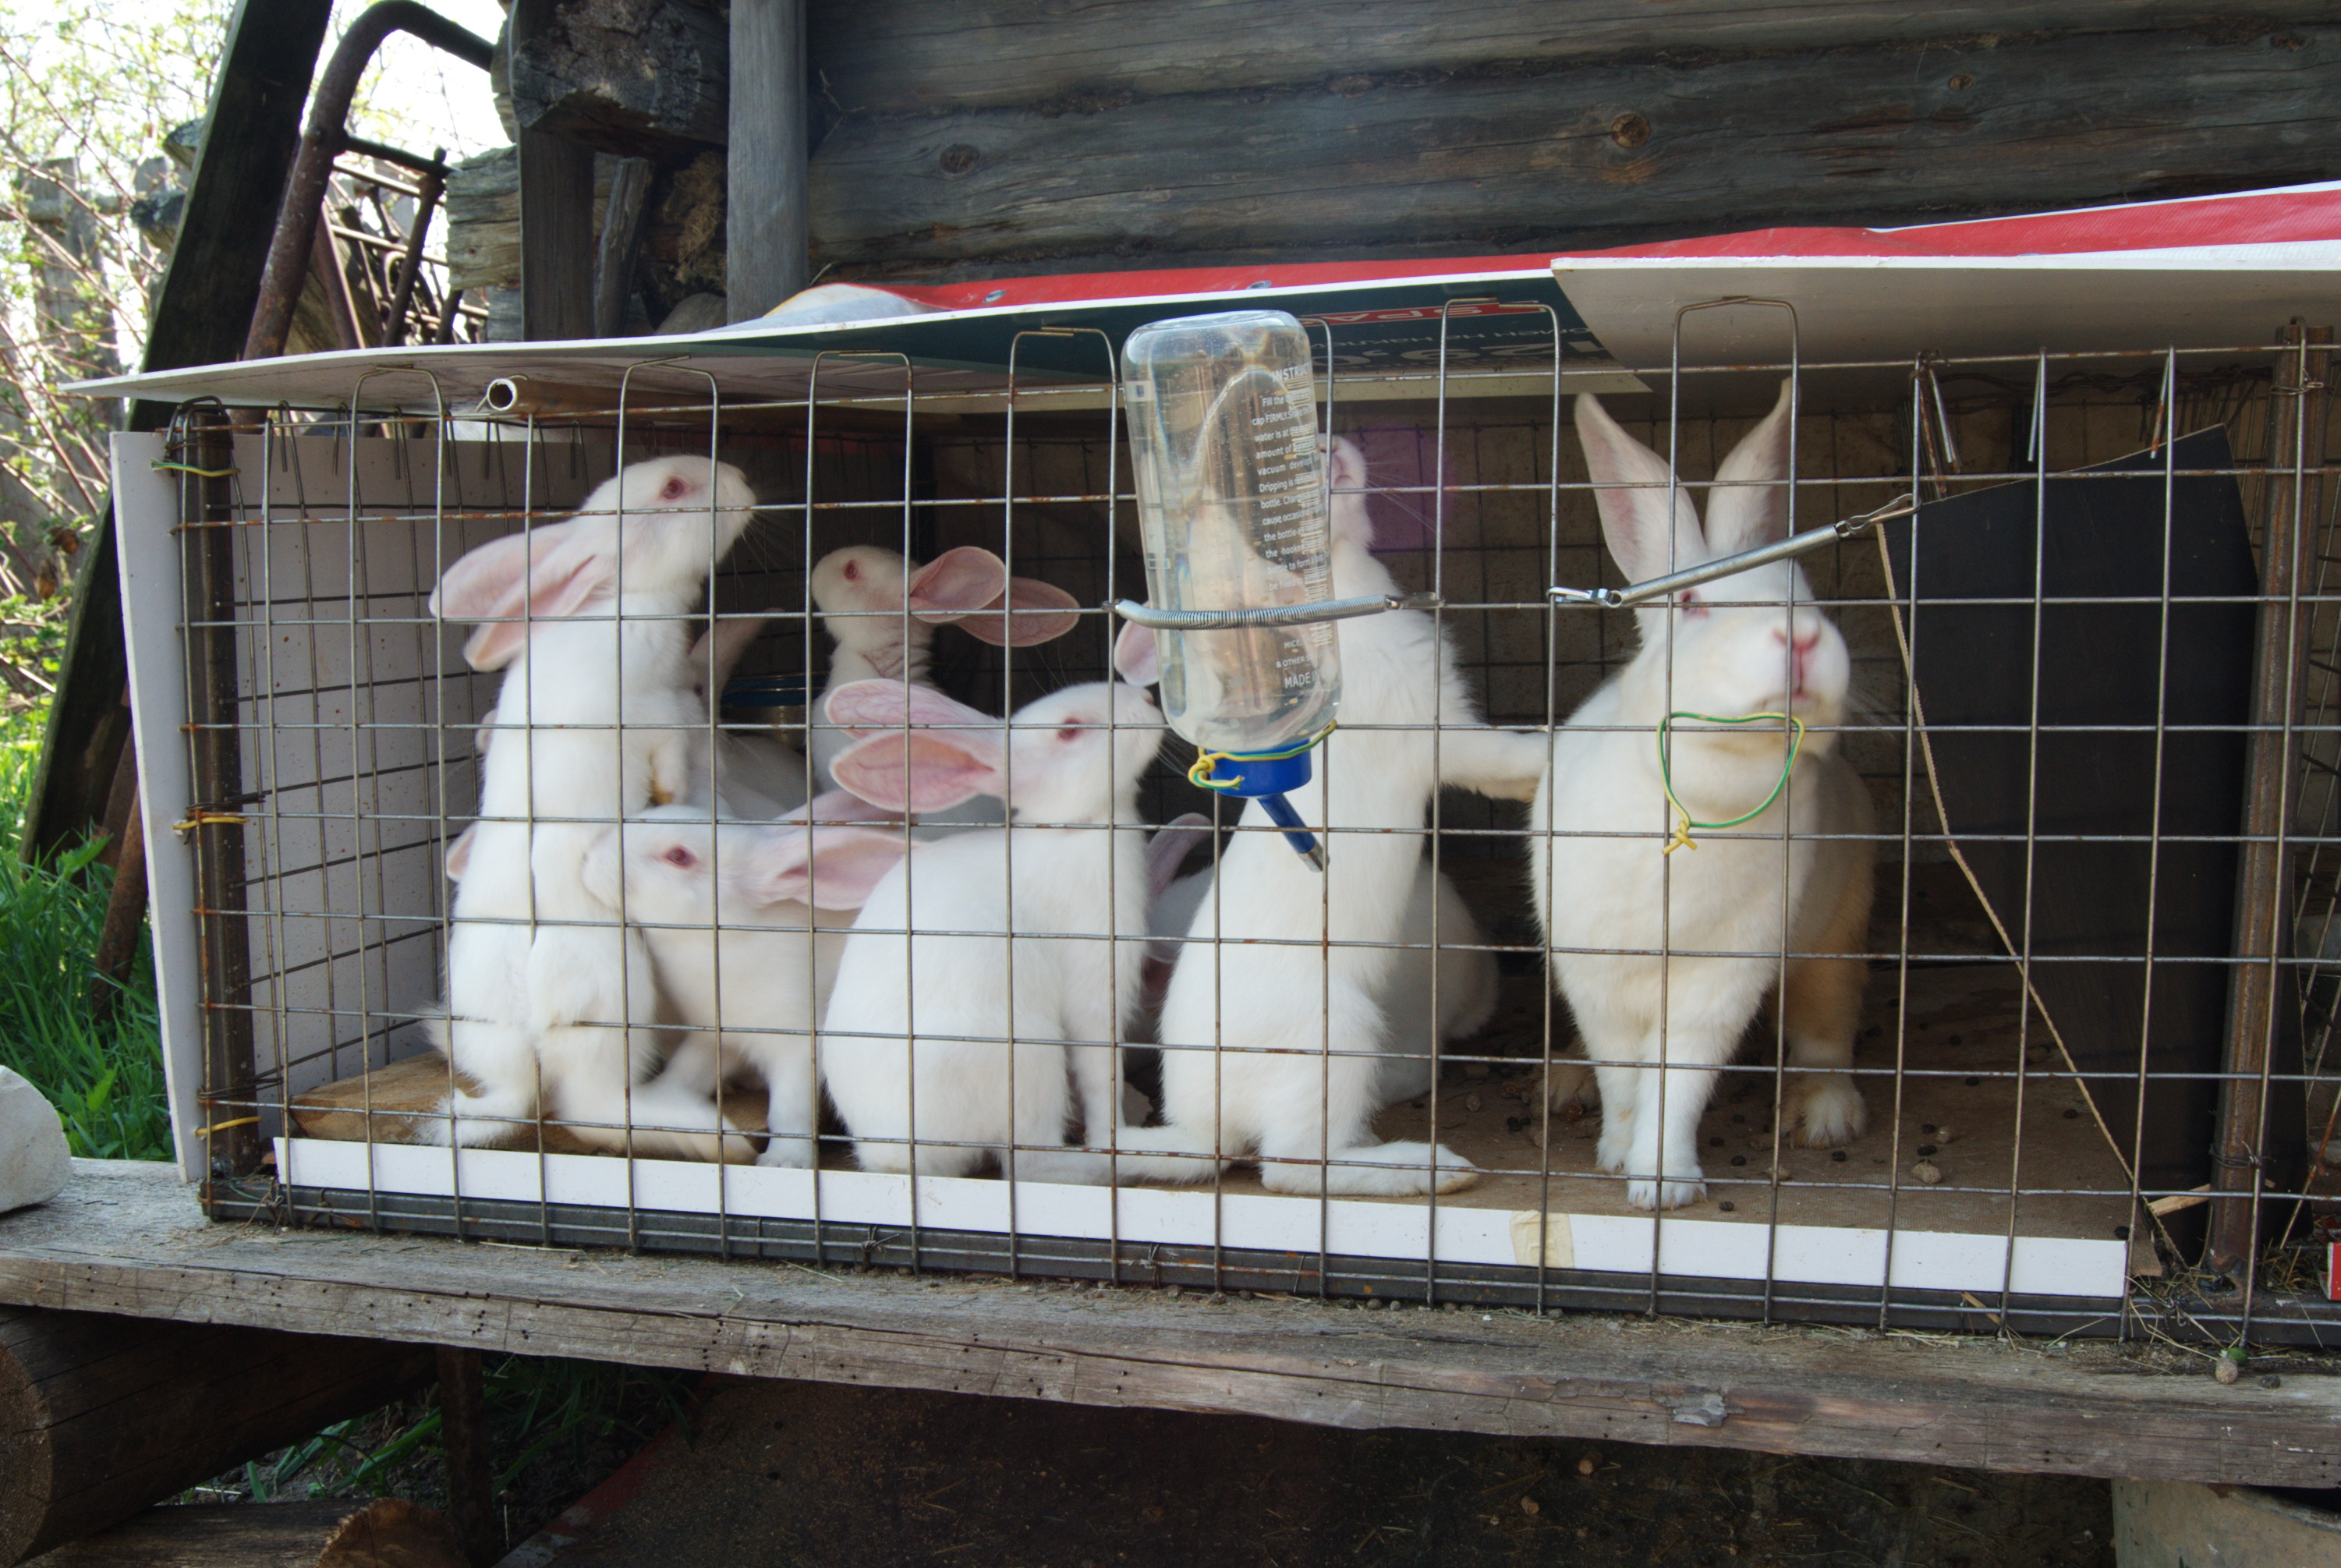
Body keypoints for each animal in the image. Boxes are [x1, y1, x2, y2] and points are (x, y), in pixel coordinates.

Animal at [424, 454, 761, 1162]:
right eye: (673, 488)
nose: (743, 481)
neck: (619, 600)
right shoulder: (657, 712)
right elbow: (669, 754)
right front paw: (667, 794)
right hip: (613, 1000)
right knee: (592, 1112)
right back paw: (714, 1138)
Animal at [581, 799, 909, 1167]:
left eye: (679, 856)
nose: (590, 859)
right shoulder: (715, 1039)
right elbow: (684, 1074)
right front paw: (657, 1099)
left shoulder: (797, 1045)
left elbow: (790, 1109)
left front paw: (784, 1160)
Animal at [814, 669, 1164, 1180]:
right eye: (1070, 730)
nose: (1147, 699)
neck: (1072, 829)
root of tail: (898, 1156)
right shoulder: (1094, 981)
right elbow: (1101, 1074)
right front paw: (1112, 1133)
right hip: (1031, 1058)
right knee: (1030, 1160)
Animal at [1104, 435, 1548, 1197]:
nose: (1329, 442)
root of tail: (1205, 1124)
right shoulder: (1446, 735)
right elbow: (1503, 760)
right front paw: (1561, 751)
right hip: (1339, 1034)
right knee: (1293, 1166)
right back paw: (1427, 1168)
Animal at [1531, 382, 1874, 1210]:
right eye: (1688, 602)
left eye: (1804, 594)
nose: (1801, 637)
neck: (1700, 797)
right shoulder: (1595, 974)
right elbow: (1624, 1076)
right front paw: (1618, 1153)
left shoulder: (1719, 979)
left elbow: (1679, 1079)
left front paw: (1663, 1181)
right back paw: (1563, 1082)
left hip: (1836, 933)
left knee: (1826, 1028)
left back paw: (1825, 1115)